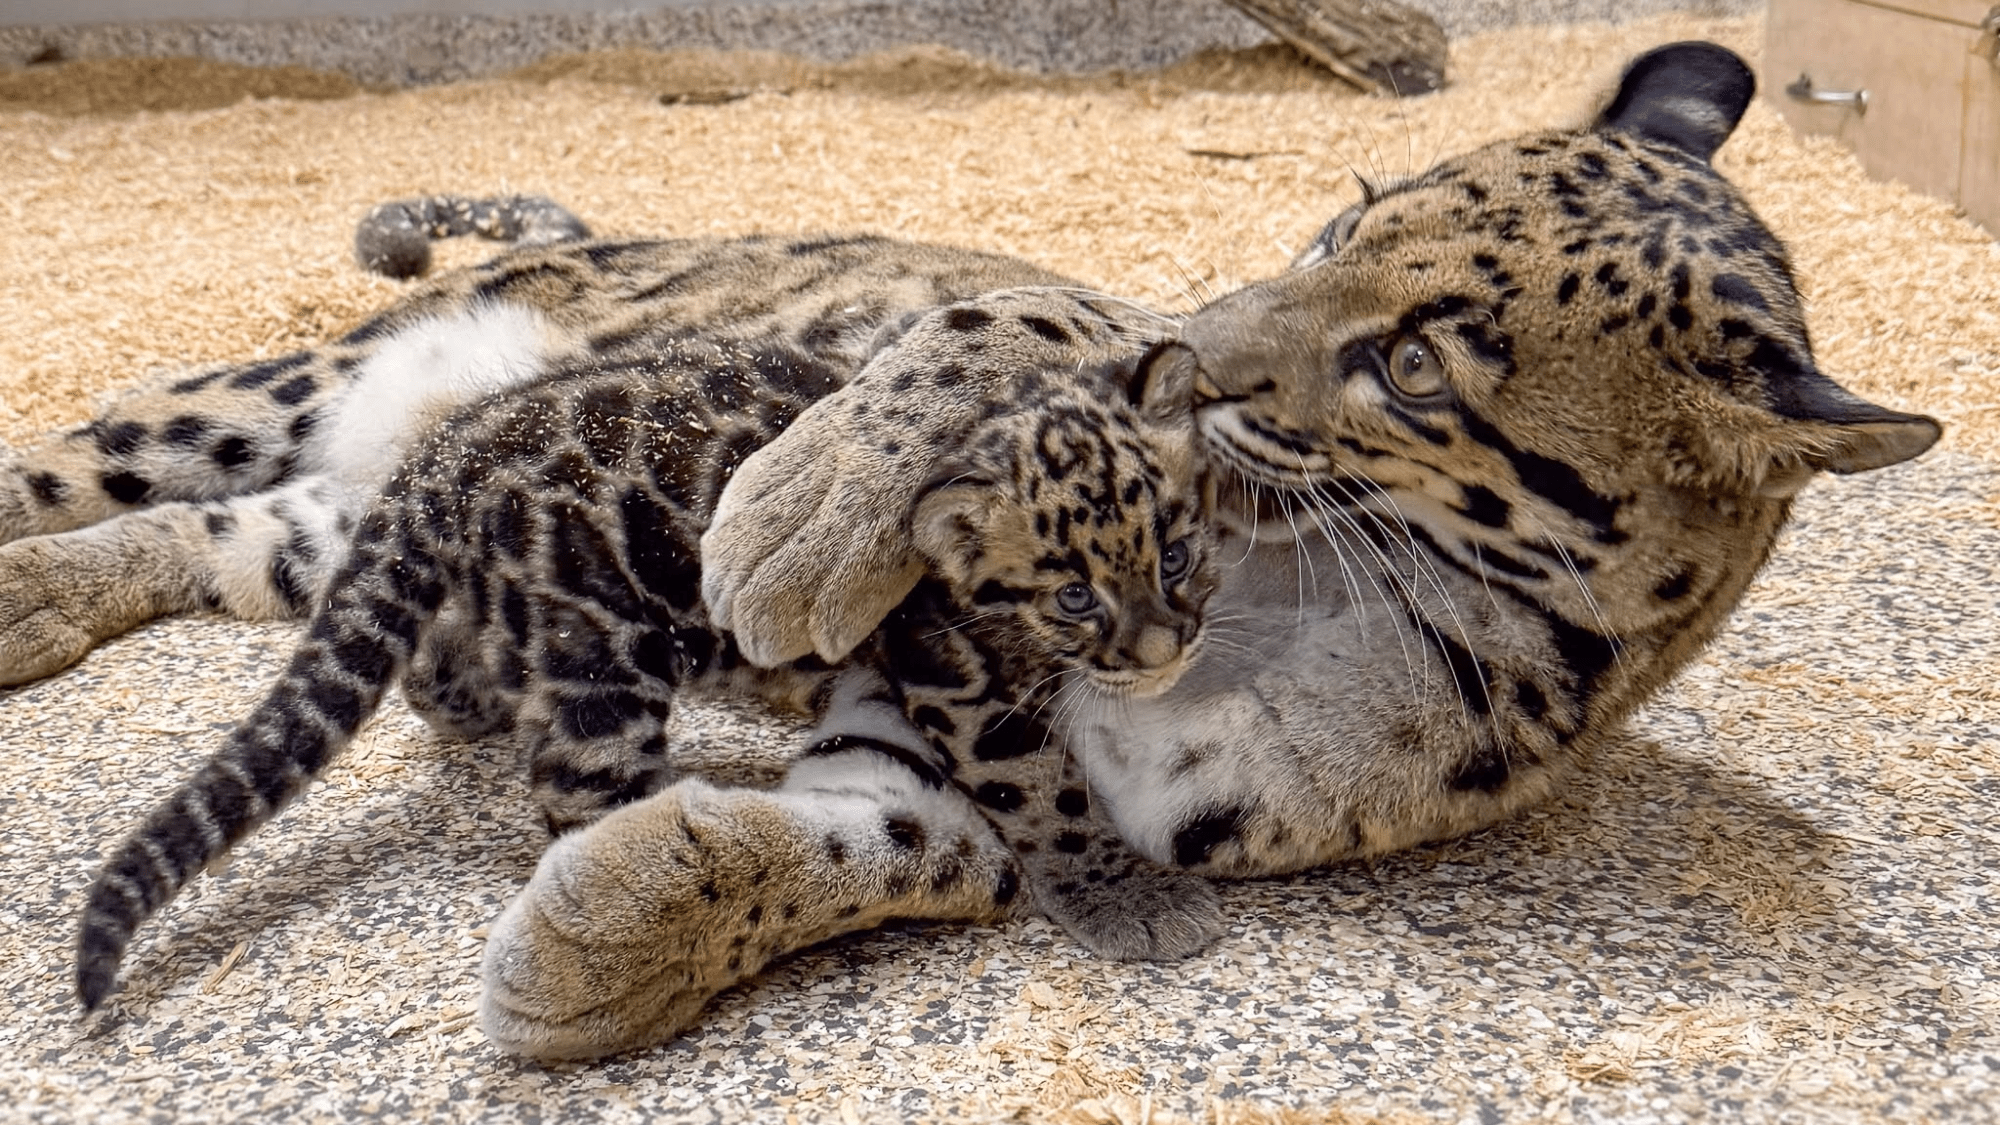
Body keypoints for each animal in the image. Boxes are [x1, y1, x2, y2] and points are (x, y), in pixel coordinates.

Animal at [76, 287, 1221, 1051]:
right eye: (1072, 595)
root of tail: (451, 443)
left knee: (440, 676)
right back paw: (645, 853)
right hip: (601, 659)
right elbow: (1040, 790)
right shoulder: (950, 669)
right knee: (571, 786)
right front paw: (1123, 892)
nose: (1164, 651)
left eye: (1175, 553)